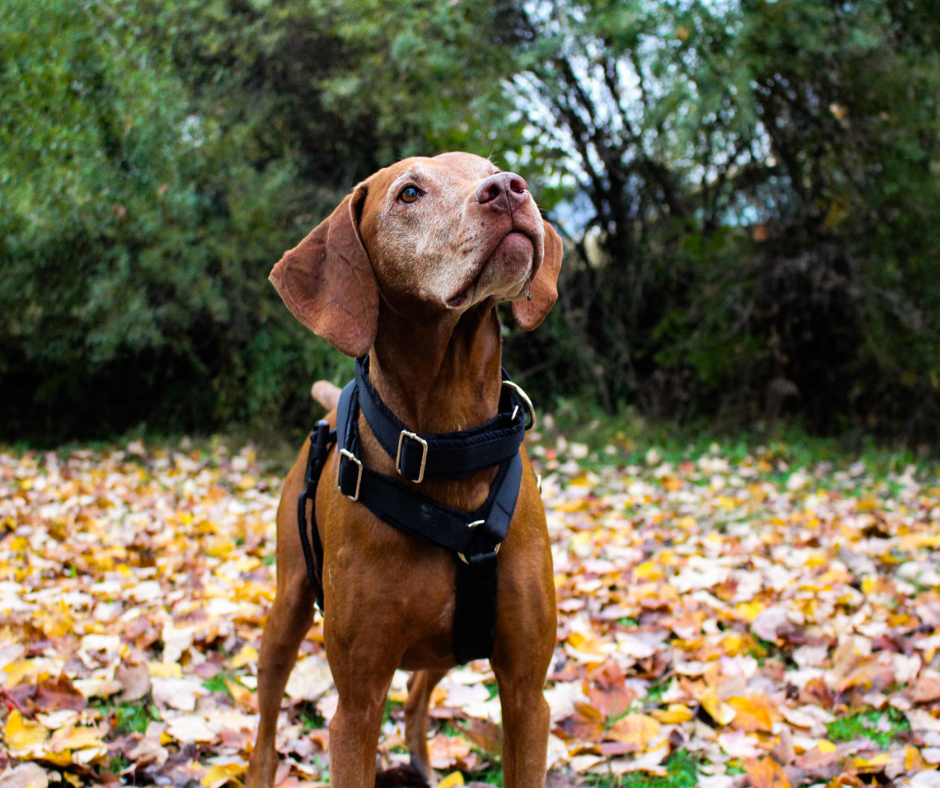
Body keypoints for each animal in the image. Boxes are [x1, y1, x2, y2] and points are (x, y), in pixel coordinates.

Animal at [246, 151, 560, 788]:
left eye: (490, 168)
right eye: (409, 193)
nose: (508, 190)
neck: (450, 445)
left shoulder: (527, 695)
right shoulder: (356, 707)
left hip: (449, 645)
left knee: (418, 694)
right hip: (288, 607)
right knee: (267, 722)